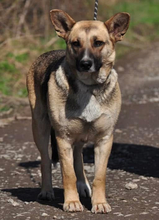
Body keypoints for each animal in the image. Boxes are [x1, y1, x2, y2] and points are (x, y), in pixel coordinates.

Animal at [26, 9, 130, 213]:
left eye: (98, 43)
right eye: (75, 43)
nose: (85, 63)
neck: (88, 87)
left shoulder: (104, 140)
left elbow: (99, 176)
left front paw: (99, 203)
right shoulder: (63, 139)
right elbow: (68, 174)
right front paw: (72, 202)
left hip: (80, 136)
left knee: (78, 157)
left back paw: (83, 185)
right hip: (40, 128)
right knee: (45, 161)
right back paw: (47, 191)